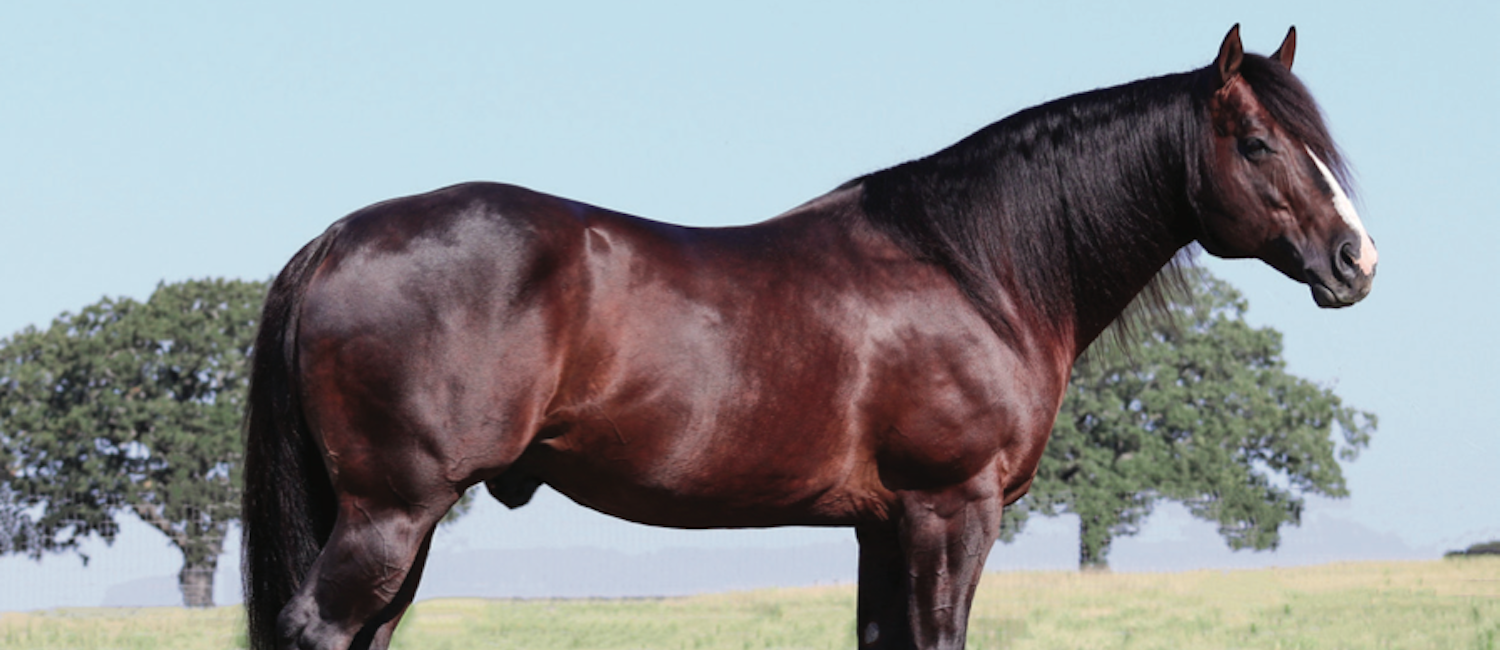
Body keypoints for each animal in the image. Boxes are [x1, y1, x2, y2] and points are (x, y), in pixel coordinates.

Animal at [242, 25, 1376, 650]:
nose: (1356, 259)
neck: (972, 265)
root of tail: (336, 240)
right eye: (1259, 142)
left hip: (403, 519)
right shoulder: (949, 509)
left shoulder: (883, 524)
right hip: (392, 510)